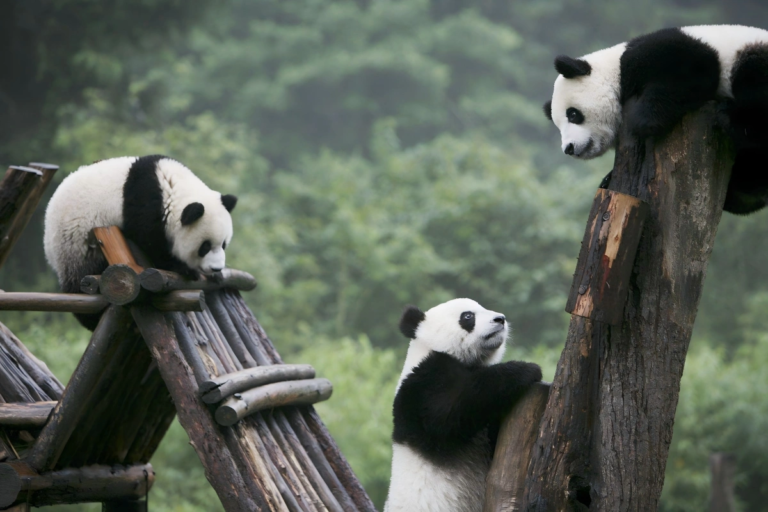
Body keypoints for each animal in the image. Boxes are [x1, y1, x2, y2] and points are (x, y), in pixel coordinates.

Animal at [44, 155, 237, 329]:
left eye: (223, 244)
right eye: (205, 246)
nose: (216, 268)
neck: (171, 189)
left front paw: (216, 275)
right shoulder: (145, 204)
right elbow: (151, 243)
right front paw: (184, 268)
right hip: (75, 240)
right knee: (78, 280)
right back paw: (91, 319)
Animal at [543, 25, 768, 214]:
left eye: (573, 114)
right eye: (559, 127)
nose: (569, 148)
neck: (615, 71)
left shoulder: (661, 52)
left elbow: (693, 72)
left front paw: (644, 121)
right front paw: (607, 179)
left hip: (749, 54)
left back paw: (732, 118)